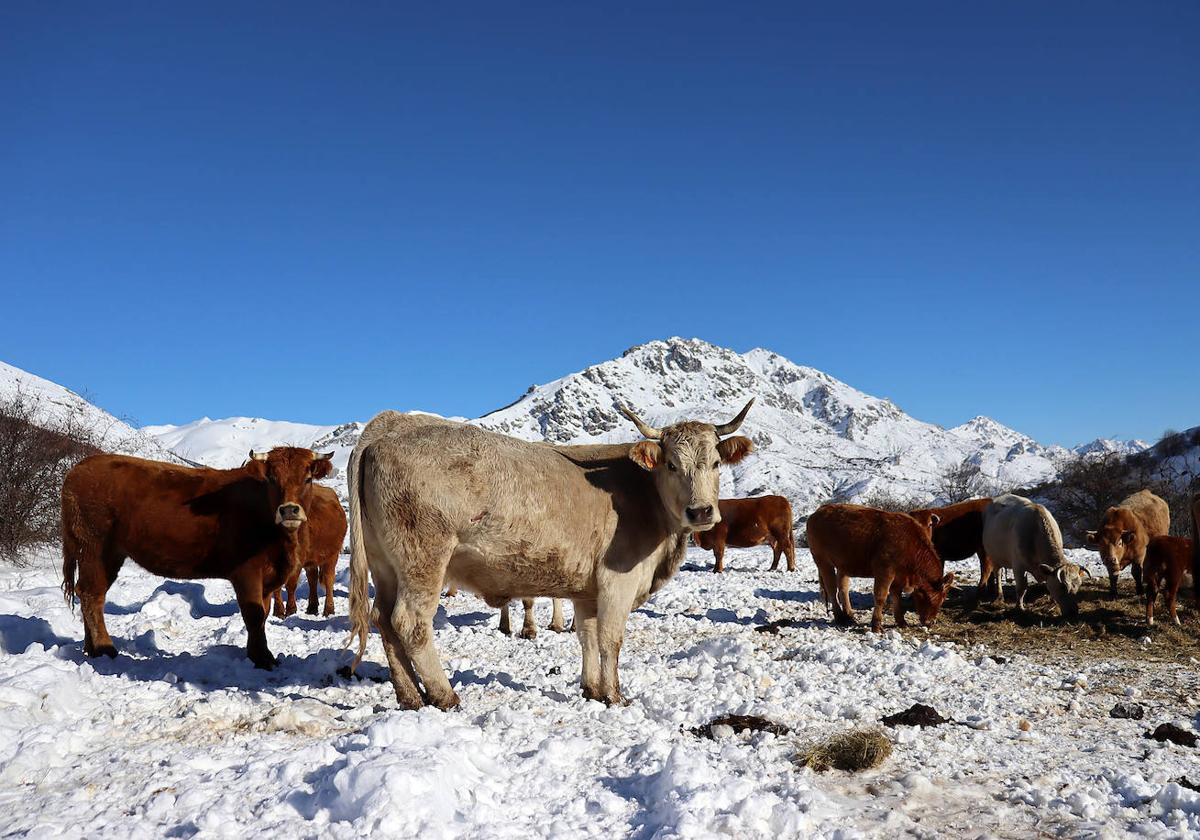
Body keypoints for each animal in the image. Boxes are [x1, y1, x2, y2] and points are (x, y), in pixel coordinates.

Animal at [60, 446, 333, 667]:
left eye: (308, 479)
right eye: (272, 479)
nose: (289, 510)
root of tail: (80, 468)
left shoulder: (267, 576)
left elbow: (263, 613)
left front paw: (258, 653)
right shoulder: (247, 572)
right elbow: (253, 615)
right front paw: (262, 659)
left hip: (106, 555)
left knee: (88, 592)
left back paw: (91, 648)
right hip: (95, 548)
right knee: (92, 595)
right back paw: (105, 648)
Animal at [273, 484, 348, 619]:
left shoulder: (297, 561)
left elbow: (291, 584)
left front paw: (291, 610)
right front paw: (278, 612)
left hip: (332, 555)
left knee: (329, 579)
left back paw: (329, 610)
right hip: (312, 559)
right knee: (312, 579)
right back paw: (312, 608)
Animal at [806, 501, 955, 633]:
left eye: (943, 600)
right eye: (933, 598)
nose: (931, 622)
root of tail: (819, 511)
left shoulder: (899, 577)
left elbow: (896, 597)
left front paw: (901, 622)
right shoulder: (885, 571)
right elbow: (881, 596)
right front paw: (876, 626)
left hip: (843, 564)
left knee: (843, 587)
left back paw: (849, 615)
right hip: (822, 560)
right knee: (831, 588)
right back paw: (839, 617)